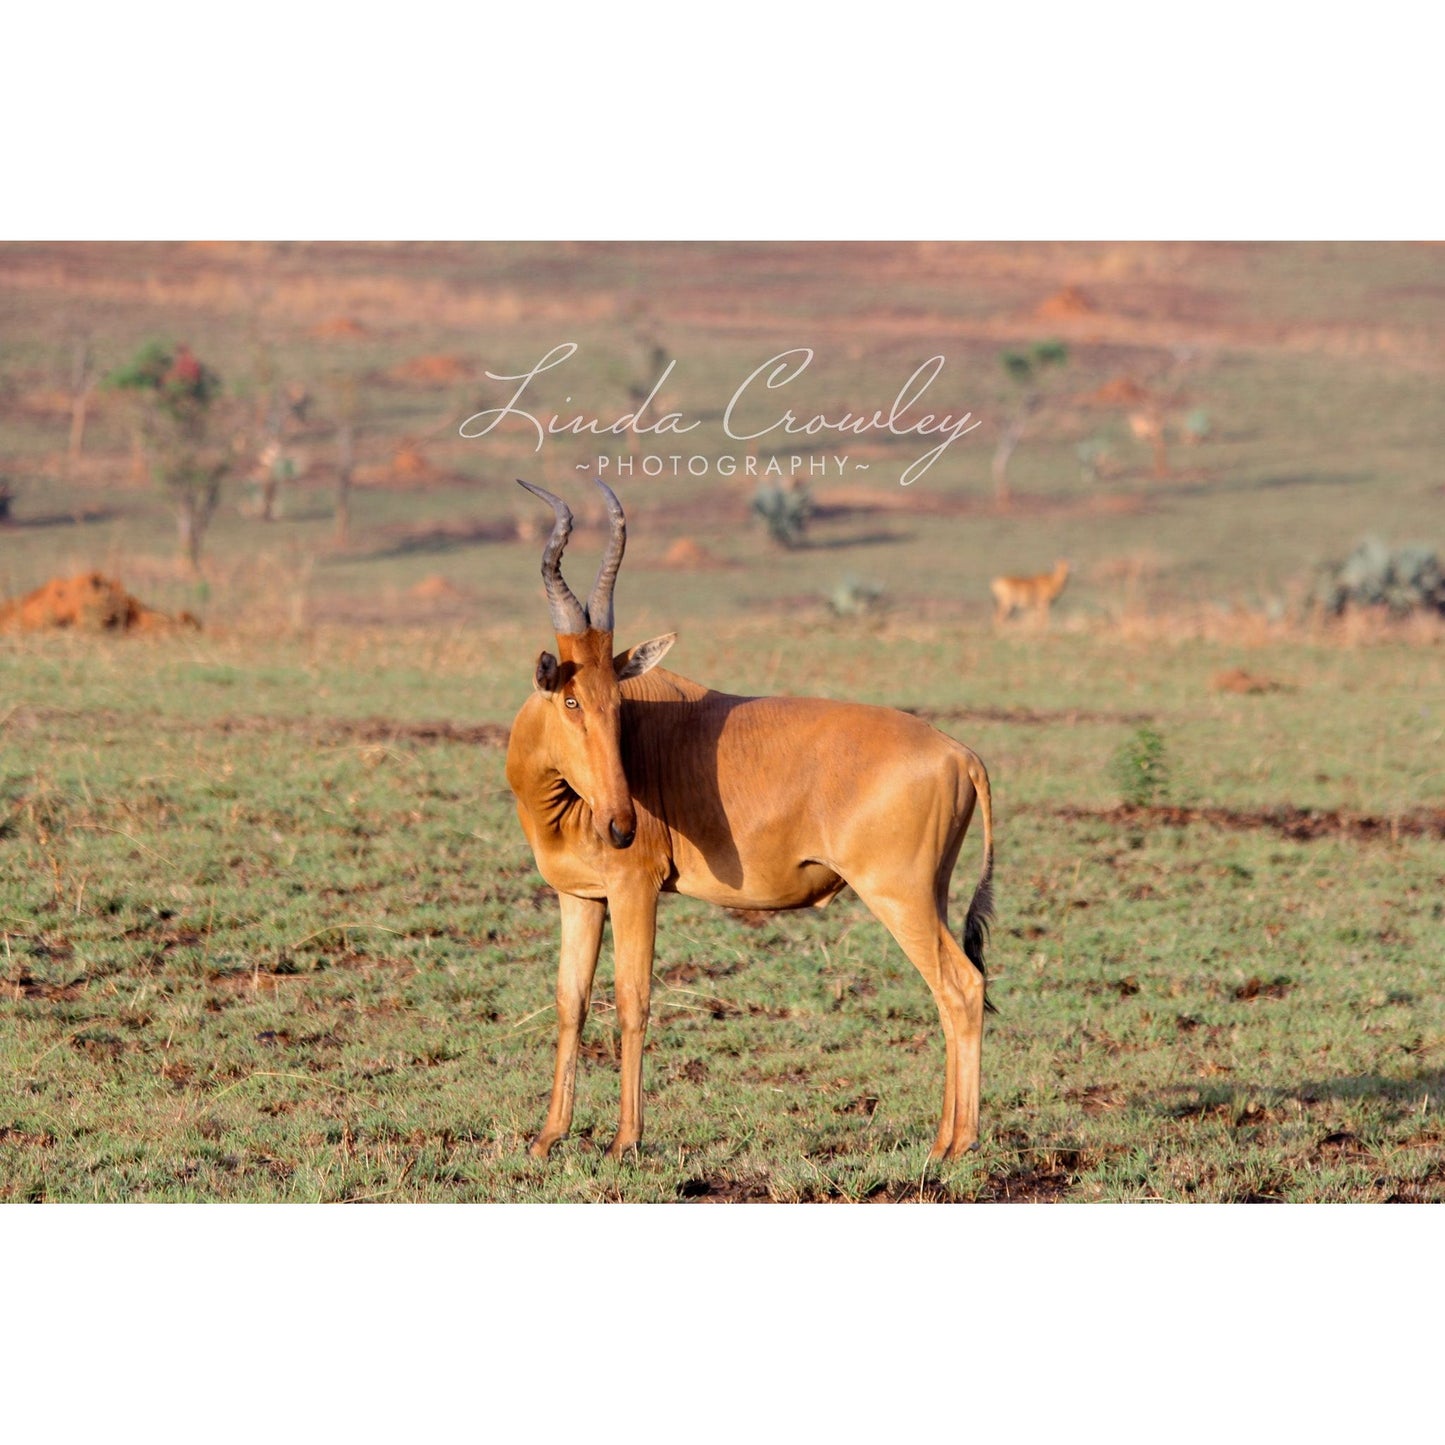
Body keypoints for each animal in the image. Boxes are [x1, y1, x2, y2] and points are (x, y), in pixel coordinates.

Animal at [505, 482, 994, 1161]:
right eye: (573, 699)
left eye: (618, 704)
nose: (621, 825)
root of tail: (960, 754)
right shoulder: (580, 896)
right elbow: (570, 1001)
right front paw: (548, 1138)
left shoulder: (635, 890)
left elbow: (633, 999)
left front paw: (625, 1142)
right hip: (934, 892)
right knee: (954, 988)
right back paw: (944, 1140)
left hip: (899, 896)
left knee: (961, 987)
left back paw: (956, 1147)